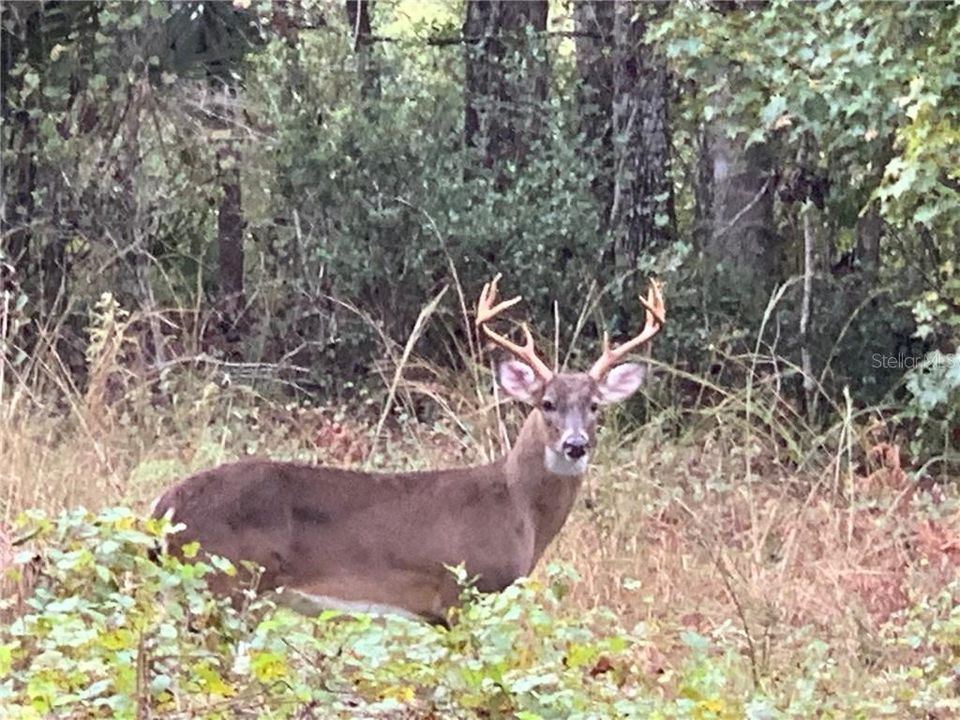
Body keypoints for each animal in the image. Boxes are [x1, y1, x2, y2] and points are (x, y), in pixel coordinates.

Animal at [150, 276, 664, 624]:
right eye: (547, 403)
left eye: (595, 405)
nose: (575, 445)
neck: (516, 508)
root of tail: (162, 506)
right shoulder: (463, 591)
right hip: (224, 579)